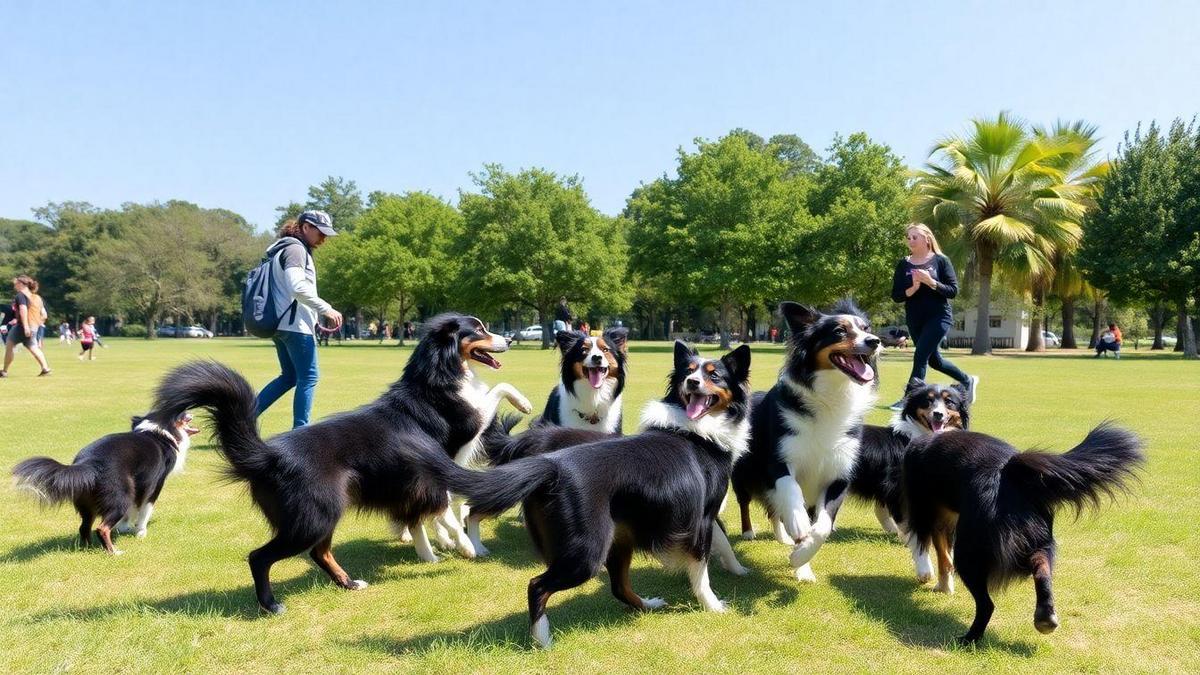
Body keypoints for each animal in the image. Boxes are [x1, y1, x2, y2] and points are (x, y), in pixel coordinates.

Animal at [13, 410, 199, 552]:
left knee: (84, 527)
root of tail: (88, 463)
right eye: (180, 413)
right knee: (101, 528)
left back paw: (88, 549)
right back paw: (113, 552)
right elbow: (144, 511)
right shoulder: (153, 486)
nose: (190, 411)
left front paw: (125, 527)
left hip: (89, 503)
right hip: (120, 496)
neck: (157, 432)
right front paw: (140, 532)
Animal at [146, 312, 530, 612]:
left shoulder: (424, 475)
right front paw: (461, 545)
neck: (437, 375)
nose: (511, 338)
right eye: (478, 329)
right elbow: (497, 390)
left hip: (325, 512)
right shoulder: (462, 434)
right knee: (261, 556)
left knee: (320, 553)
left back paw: (348, 583)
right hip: (312, 517)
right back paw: (271, 605)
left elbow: (431, 511)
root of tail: (267, 455)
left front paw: (436, 548)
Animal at [720, 299, 883, 578]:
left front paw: (801, 560)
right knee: (746, 502)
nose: (875, 341)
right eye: (840, 331)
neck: (832, 396)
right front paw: (798, 524)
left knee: (774, 511)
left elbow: (823, 526)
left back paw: (785, 540)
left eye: (866, 328)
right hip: (744, 474)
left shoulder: (839, 475)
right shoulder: (779, 460)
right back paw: (750, 531)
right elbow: (790, 488)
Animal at [902, 420, 1142, 638]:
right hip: (1036, 541)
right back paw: (1045, 616)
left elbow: (942, 557)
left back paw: (970, 638)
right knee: (1042, 567)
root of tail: (1011, 471)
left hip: (971, 552)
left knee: (987, 604)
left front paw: (941, 586)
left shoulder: (929, 517)